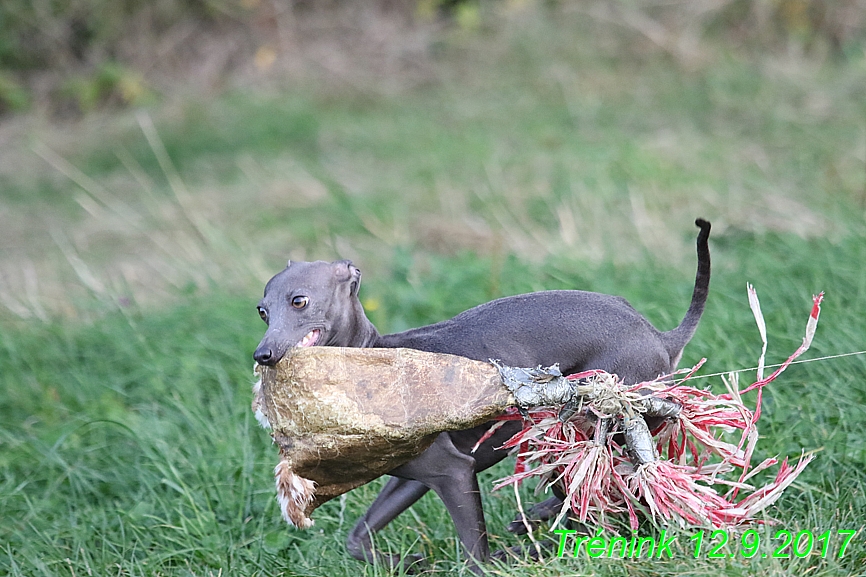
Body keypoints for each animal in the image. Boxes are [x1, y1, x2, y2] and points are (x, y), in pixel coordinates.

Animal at [251, 217, 708, 572]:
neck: (369, 358)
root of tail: (660, 336)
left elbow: (477, 558)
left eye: (299, 300)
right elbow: (356, 539)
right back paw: (540, 525)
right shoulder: (414, 477)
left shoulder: (454, 471)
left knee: (618, 491)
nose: (263, 354)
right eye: (262, 310)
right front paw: (407, 563)